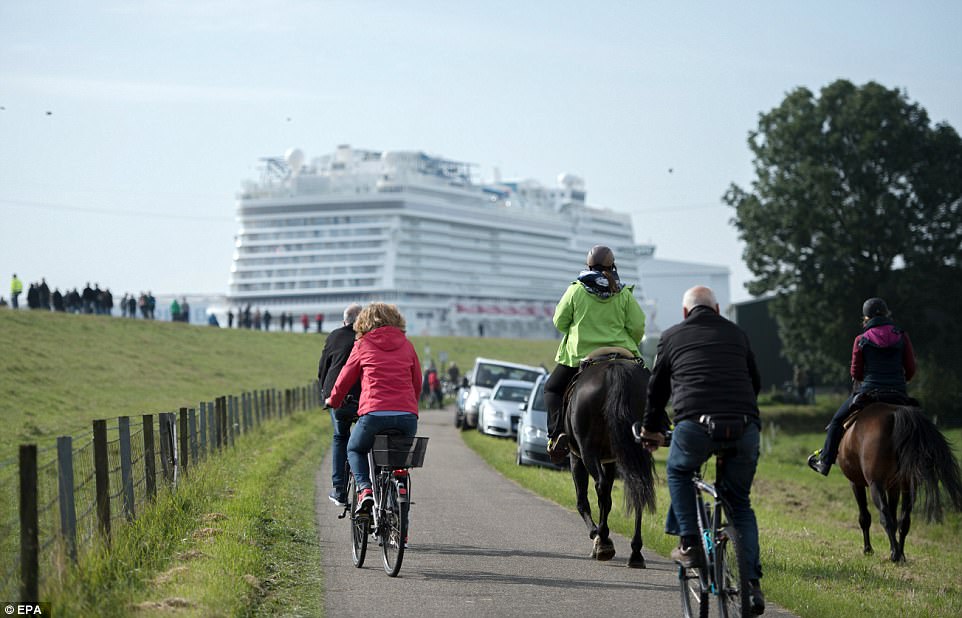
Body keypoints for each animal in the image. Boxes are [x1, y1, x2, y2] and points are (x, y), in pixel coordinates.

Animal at [568, 348, 656, 564]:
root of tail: (615, 368)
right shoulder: (611, 460)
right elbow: (606, 499)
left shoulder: (576, 456)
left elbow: (584, 500)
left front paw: (596, 535)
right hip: (638, 451)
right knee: (639, 489)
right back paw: (635, 552)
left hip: (587, 451)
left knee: (599, 487)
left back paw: (603, 541)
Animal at [832, 402, 960, 560]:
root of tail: (896, 413)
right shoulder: (894, 487)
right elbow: (894, 517)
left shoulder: (856, 483)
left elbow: (865, 517)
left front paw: (868, 549)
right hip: (908, 486)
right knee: (903, 521)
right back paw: (901, 554)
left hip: (875, 485)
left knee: (884, 516)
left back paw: (894, 554)